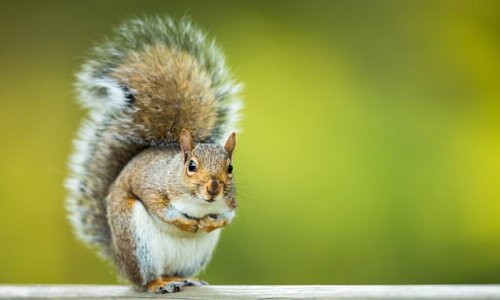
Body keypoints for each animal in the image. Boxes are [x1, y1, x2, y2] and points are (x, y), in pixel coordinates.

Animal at [65, 16, 242, 292]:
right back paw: (159, 284)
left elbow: (228, 216)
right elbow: (159, 207)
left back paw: (184, 279)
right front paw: (186, 222)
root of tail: (119, 260)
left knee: (174, 271)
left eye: (230, 168)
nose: (214, 188)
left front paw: (210, 222)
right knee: (145, 279)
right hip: (137, 240)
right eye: (191, 166)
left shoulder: (230, 201)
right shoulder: (151, 184)